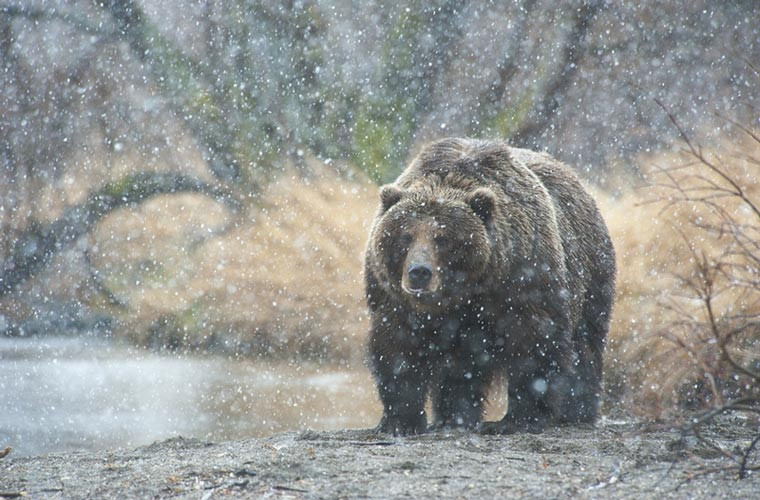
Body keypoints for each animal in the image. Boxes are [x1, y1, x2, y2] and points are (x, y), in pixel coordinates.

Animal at [366, 139, 616, 436]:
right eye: (406, 236)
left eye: (443, 238)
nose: (419, 272)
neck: (464, 292)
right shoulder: (394, 298)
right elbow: (398, 348)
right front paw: (400, 422)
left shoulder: (523, 277)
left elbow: (533, 343)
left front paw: (518, 419)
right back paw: (451, 417)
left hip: (590, 274)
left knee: (585, 344)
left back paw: (577, 411)